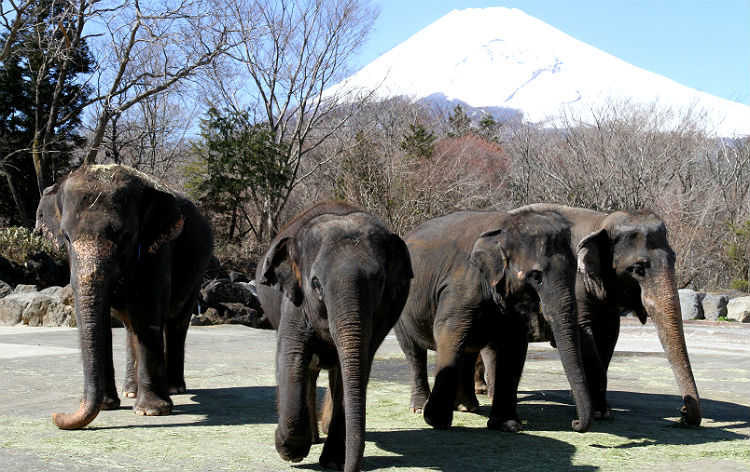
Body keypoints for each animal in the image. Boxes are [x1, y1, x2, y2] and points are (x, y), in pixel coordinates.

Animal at [36, 164, 216, 430]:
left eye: (125, 236)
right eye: (66, 237)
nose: (56, 415)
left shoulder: (158, 248)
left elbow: (147, 308)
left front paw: (152, 411)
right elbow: (102, 321)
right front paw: (106, 405)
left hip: (196, 275)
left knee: (176, 323)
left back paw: (174, 388)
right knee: (132, 328)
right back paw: (131, 391)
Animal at [258, 202, 412, 472]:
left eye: (380, 282)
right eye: (316, 283)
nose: (351, 468)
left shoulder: (384, 314)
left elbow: (355, 369)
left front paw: (332, 461)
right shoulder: (294, 302)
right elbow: (291, 356)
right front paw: (289, 451)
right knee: (308, 369)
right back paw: (312, 437)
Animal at [396, 208, 596, 434]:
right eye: (536, 277)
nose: (575, 423)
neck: (505, 224)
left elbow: (514, 347)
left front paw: (507, 425)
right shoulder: (461, 288)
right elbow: (449, 333)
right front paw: (437, 422)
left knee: (468, 352)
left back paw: (467, 407)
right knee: (414, 352)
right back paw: (420, 408)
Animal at [502, 205, 704, 426]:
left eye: (674, 259)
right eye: (637, 269)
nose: (682, 413)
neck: (600, 223)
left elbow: (609, 336)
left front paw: (600, 411)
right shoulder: (573, 285)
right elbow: (584, 333)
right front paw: (597, 412)